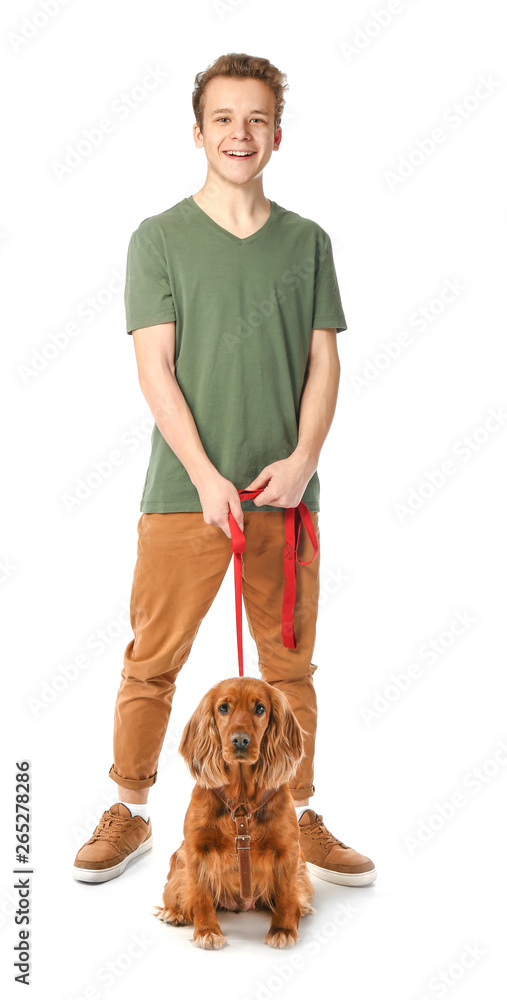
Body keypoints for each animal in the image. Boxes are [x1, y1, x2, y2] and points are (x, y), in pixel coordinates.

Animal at [153, 676, 316, 948]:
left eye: (260, 708)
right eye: (223, 708)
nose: (240, 740)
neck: (240, 802)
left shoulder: (288, 851)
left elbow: (286, 893)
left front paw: (283, 929)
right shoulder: (195, 850)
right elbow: (200, 896)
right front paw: (207, 931)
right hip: (179, 859)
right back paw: (174, 913)